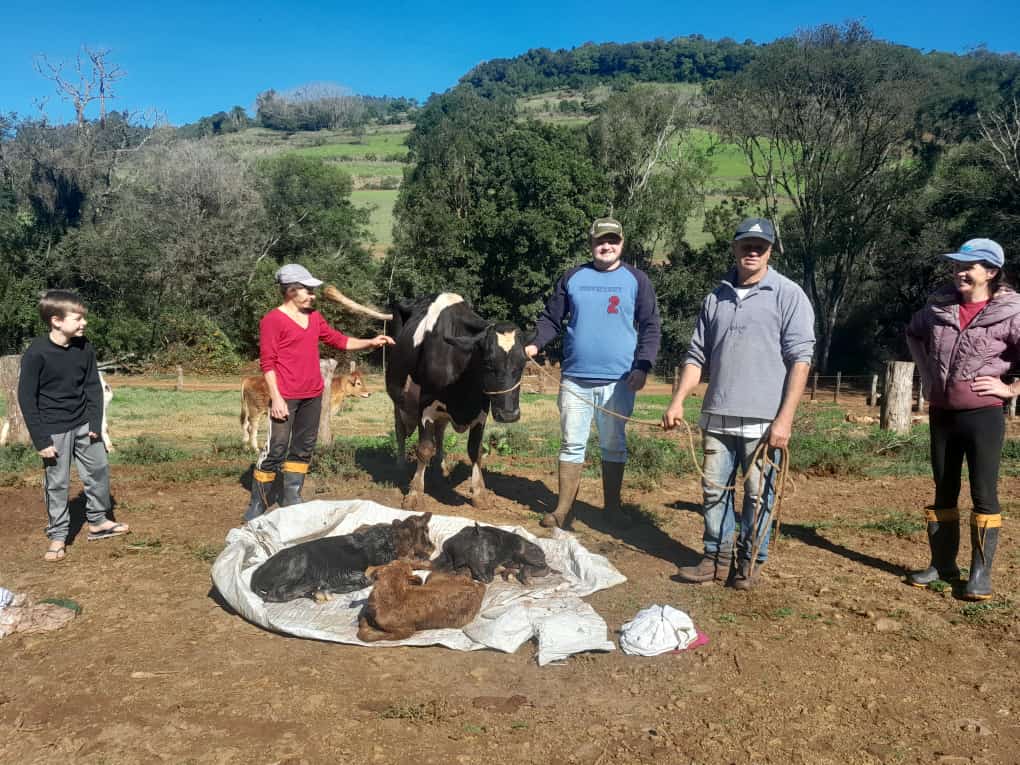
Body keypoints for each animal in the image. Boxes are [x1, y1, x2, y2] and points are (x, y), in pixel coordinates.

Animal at [240, 369, 371, 451]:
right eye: (358, 383)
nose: (369, 393)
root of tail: (249, 379)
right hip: (256, 410)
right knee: (252, 428)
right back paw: (255, 449)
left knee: (245, 425)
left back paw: (246, 447)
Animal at [386, 293, 531, 510]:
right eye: (487, 362)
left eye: (522, 363)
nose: (509, 415)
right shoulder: (425, 406)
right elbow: (424, 449)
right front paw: (414, 494)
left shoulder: (481, 410)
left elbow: (475, 450)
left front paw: (479, 493)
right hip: (398, 399)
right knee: (400, 430)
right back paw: (400, 466)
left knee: (440, 432)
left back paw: (441, 468)